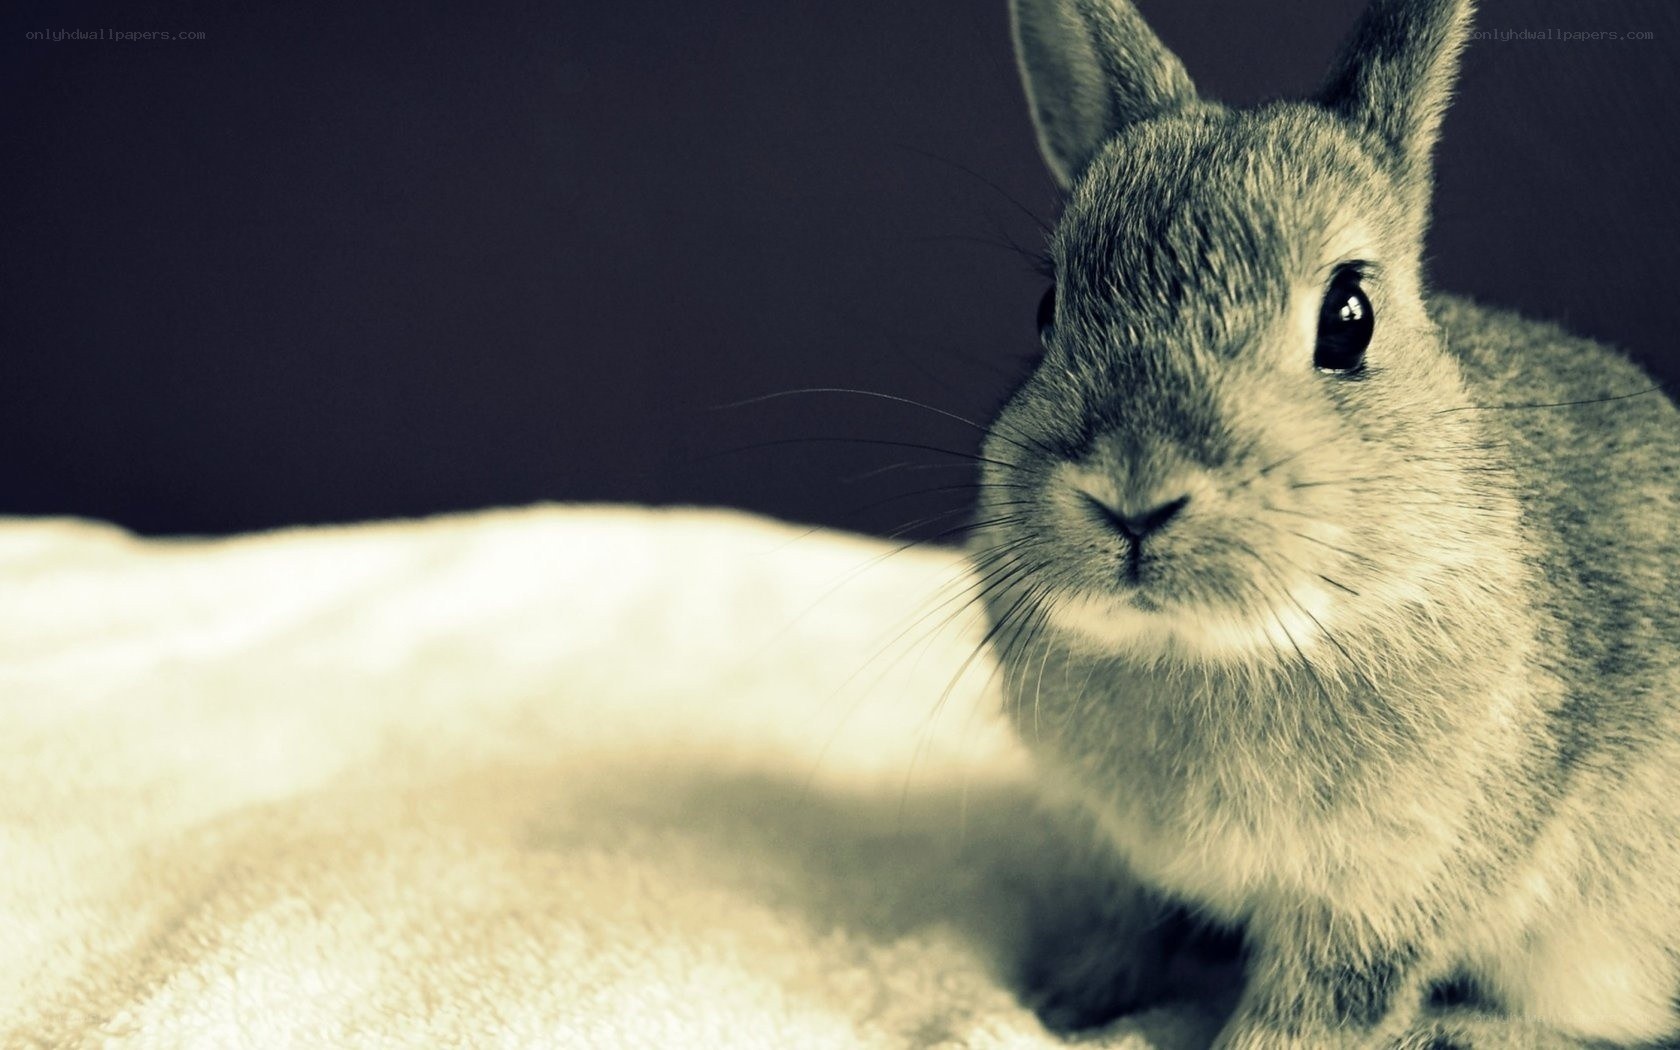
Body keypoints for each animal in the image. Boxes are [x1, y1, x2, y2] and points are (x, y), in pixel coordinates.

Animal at [968, 0, 1680, 1047]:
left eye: (1349, 317)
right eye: (1049, 308)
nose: (1134, 493)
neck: (1206, 648)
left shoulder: (1380, 895)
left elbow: (1309, 1012)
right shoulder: (1124, 863)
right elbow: (1124, 931)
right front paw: (1062, 1007)